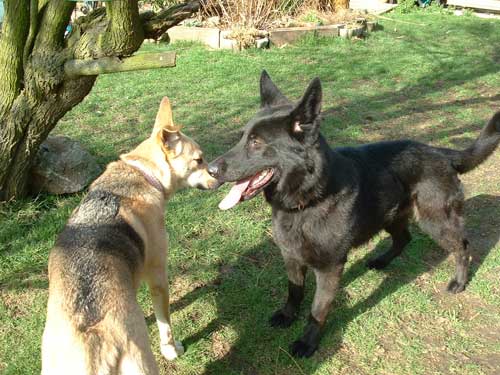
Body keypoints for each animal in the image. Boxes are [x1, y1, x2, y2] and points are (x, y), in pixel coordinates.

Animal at [40, 98, 217, 374]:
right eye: (199, 160)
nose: (218, 175)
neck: (143, 173)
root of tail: (95, 344)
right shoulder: (158, 275)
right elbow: (165, 323)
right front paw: (172, 349)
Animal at [208, 72, 500, 358]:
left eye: (256, 142)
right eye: (242, 138)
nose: (210, 169)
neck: (311, 198)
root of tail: (442, 152)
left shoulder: (329, 268)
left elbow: (317, 310)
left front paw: (308, 342)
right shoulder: (291, 257)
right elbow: (294, 291)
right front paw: (288, 315)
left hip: (436, 221)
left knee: (462, 246)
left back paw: (458, 282)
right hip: (388, 217)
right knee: (404, 238)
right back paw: (381, 261)